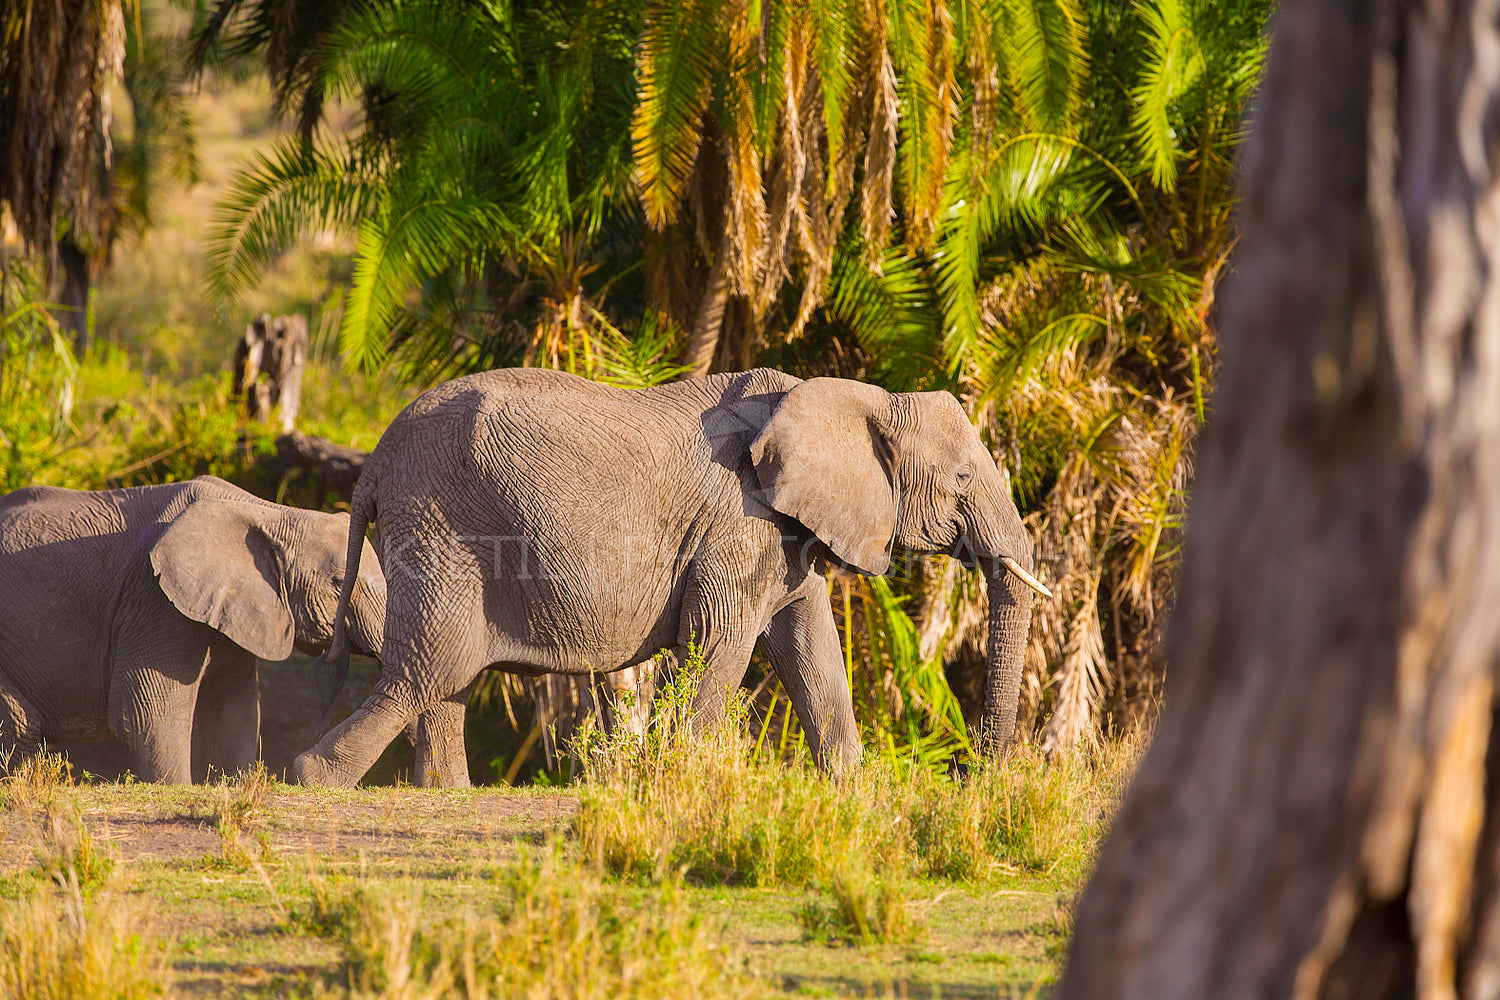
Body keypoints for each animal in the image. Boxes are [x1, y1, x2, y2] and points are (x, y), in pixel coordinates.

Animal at [0, 473, 387, 785]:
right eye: (338, 584)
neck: (267, 512)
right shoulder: (154, 600)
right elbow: (146, 717)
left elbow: (235, 715)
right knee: (20, 728)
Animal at [298, 367, 1050, 791]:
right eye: (962, 478)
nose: (974, 774)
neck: (855, 397)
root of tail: (374, 461)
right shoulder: (739, 522)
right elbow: (721, 642)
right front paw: (673, 779)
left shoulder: (786, 529)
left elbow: (810, 645)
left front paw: (851, 790)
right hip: (443, 525)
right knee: (427, 670)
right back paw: (315, 780)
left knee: (445, 678)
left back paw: (446, 794)